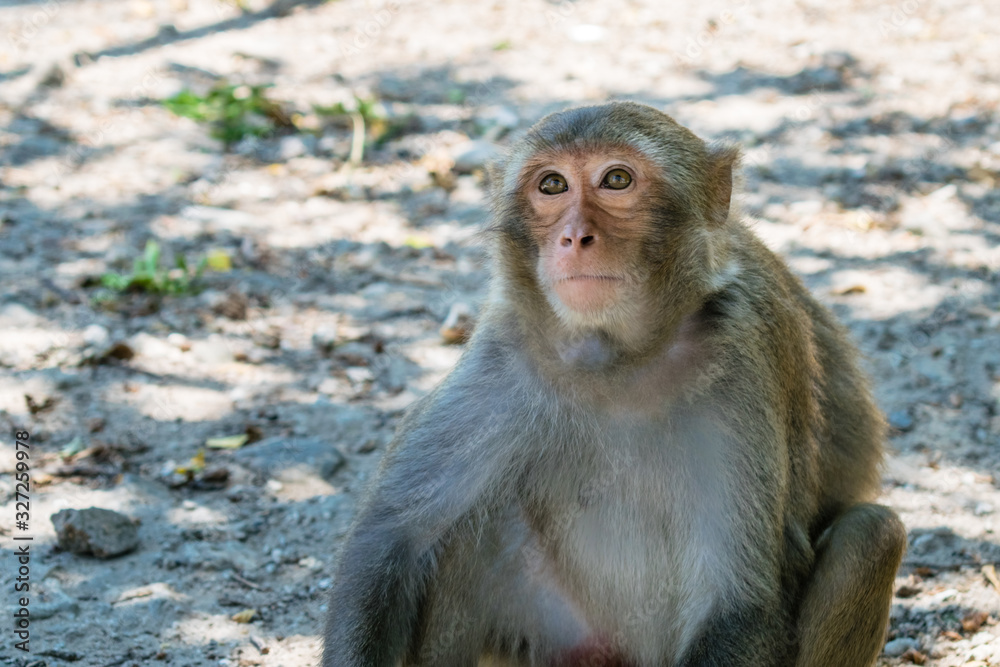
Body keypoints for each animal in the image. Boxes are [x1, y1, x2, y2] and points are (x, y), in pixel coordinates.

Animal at [322, 100, 908, 667]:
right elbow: (390, 541)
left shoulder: (743, 353)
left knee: (871, 536)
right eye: (552, 185)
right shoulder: (506, 353)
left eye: (617, 179)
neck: (619, 358)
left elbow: (740, 603)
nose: (575, 237)